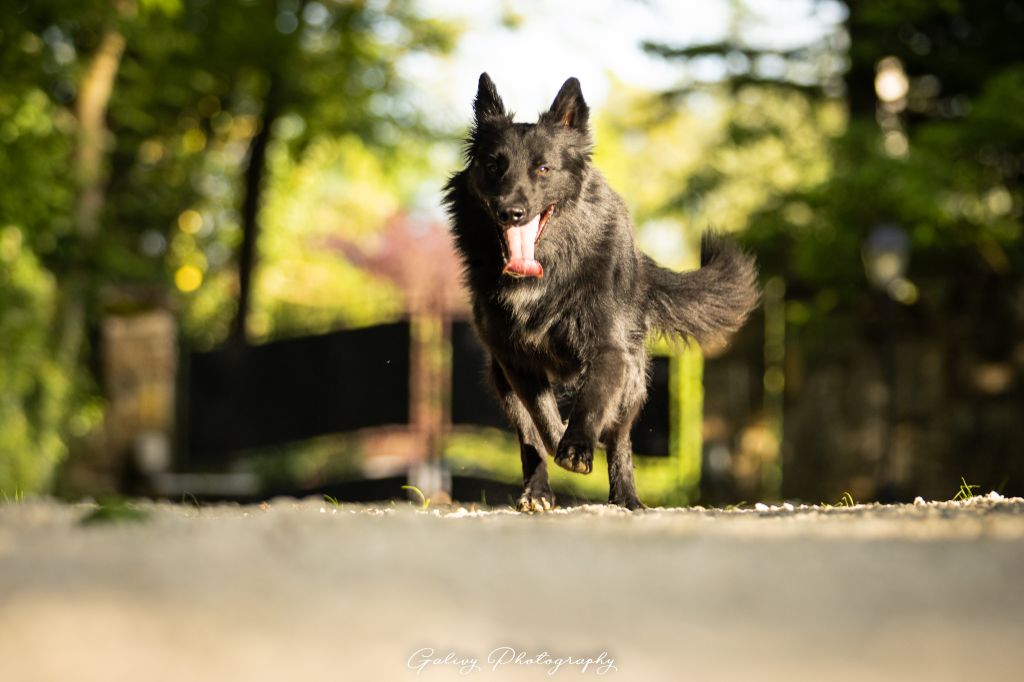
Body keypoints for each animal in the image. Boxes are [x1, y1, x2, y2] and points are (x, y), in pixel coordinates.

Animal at [444, 75, 757, 509]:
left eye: (543, 169)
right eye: (493, 166)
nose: (511, 212)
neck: (547, 271)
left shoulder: (610, 350)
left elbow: (592, 402)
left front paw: (576, 447)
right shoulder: (515, 359)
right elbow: (542, 418)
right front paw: (559, 440)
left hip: (633, 379)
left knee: (620, 439)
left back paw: (625, 496)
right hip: (501, 378)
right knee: (529, 436)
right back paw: (537, 490)